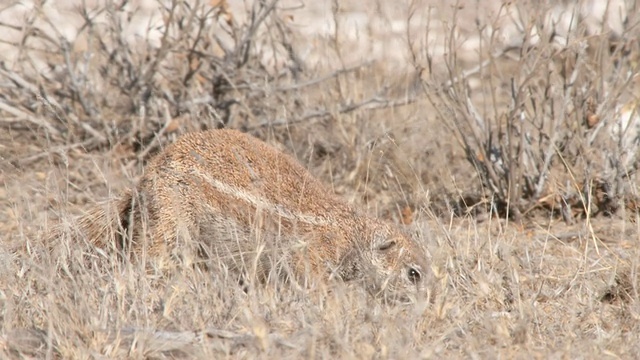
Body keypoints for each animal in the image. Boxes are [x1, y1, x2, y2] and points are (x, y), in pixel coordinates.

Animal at [63, 129, 430, 298]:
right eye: (414, 274)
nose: (426, 305)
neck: (351, 231)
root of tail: (147, 174)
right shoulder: (310, 251)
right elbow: (311, 278)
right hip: (168, 220)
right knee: (148, 254)